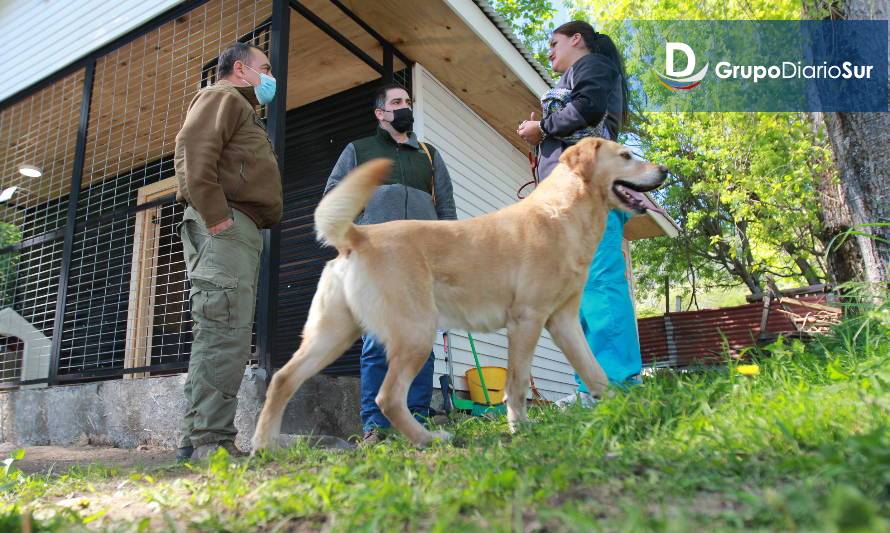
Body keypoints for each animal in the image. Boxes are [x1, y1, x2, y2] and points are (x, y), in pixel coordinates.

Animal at [253, 137, 664, 448]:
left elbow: (595, 372)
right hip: (416, 333)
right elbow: (517, 384)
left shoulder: (563, 322)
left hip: (334, 335)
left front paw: (624, 408)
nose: (664, 172)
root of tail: (360, 235)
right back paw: (428, 439)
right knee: (388, 397)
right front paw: (520, 428)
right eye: (626, 156)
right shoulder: (527, 319)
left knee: (283, 379)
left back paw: (264, 445)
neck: (562, 213)